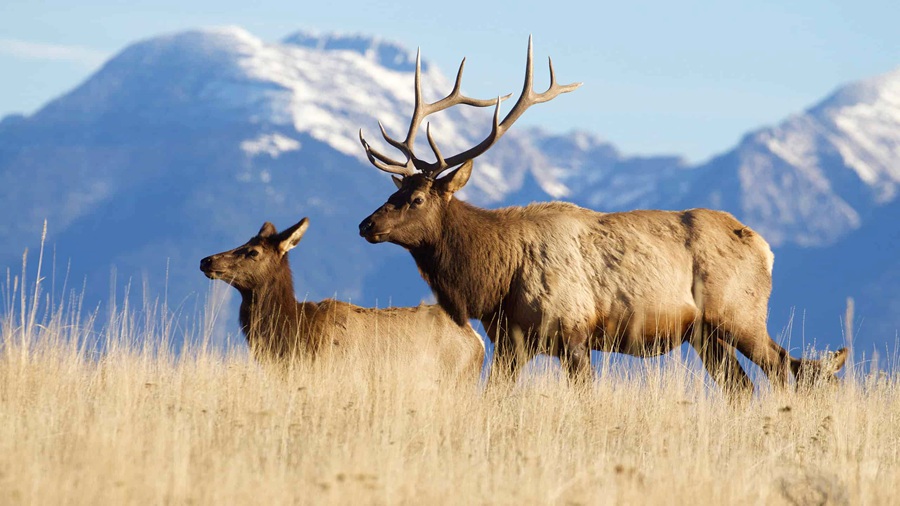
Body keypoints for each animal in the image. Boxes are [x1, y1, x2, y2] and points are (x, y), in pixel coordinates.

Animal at [356, 38, 847, 394]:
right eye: (395, 191)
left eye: (418, 199)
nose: (366, 224)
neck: (495, 280)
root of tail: (765, 248)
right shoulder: (511, 342)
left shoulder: (573, 334)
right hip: (704, 334)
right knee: (744, 387)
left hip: (739, 313)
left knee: (783, 367)